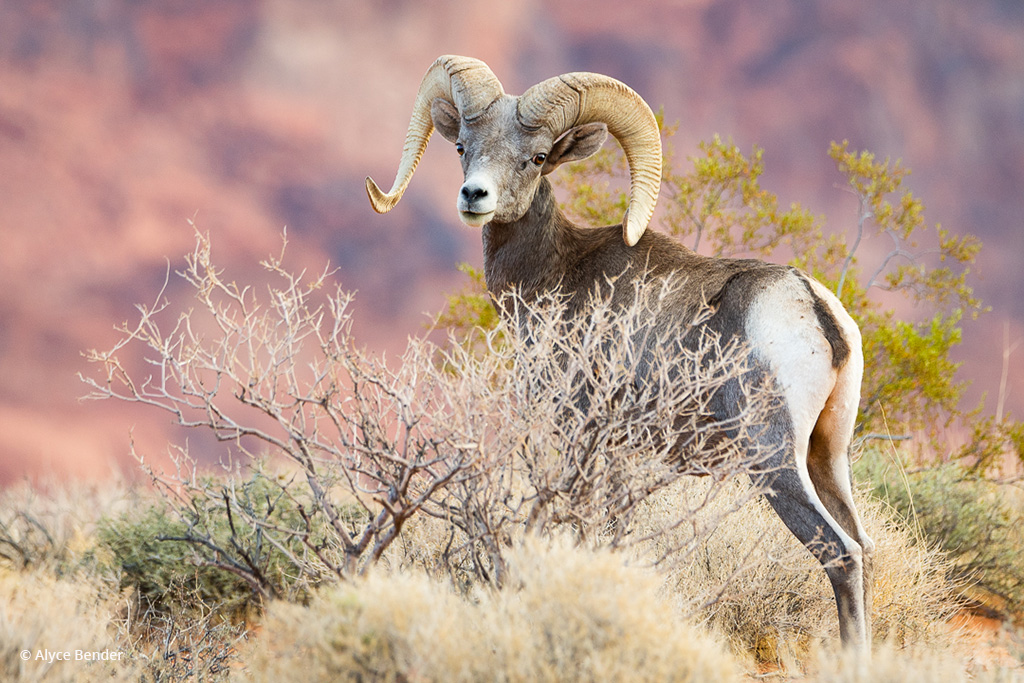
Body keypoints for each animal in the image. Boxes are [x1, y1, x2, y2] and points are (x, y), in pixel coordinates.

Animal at [364, 53, 876, 651]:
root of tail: (815, 312)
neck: (557, 276)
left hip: (772, 460)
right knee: (864, 546)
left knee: (839, 552)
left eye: (537, 157)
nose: (474, 197)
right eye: (464, 147)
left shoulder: (586, 443)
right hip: (827, 457)